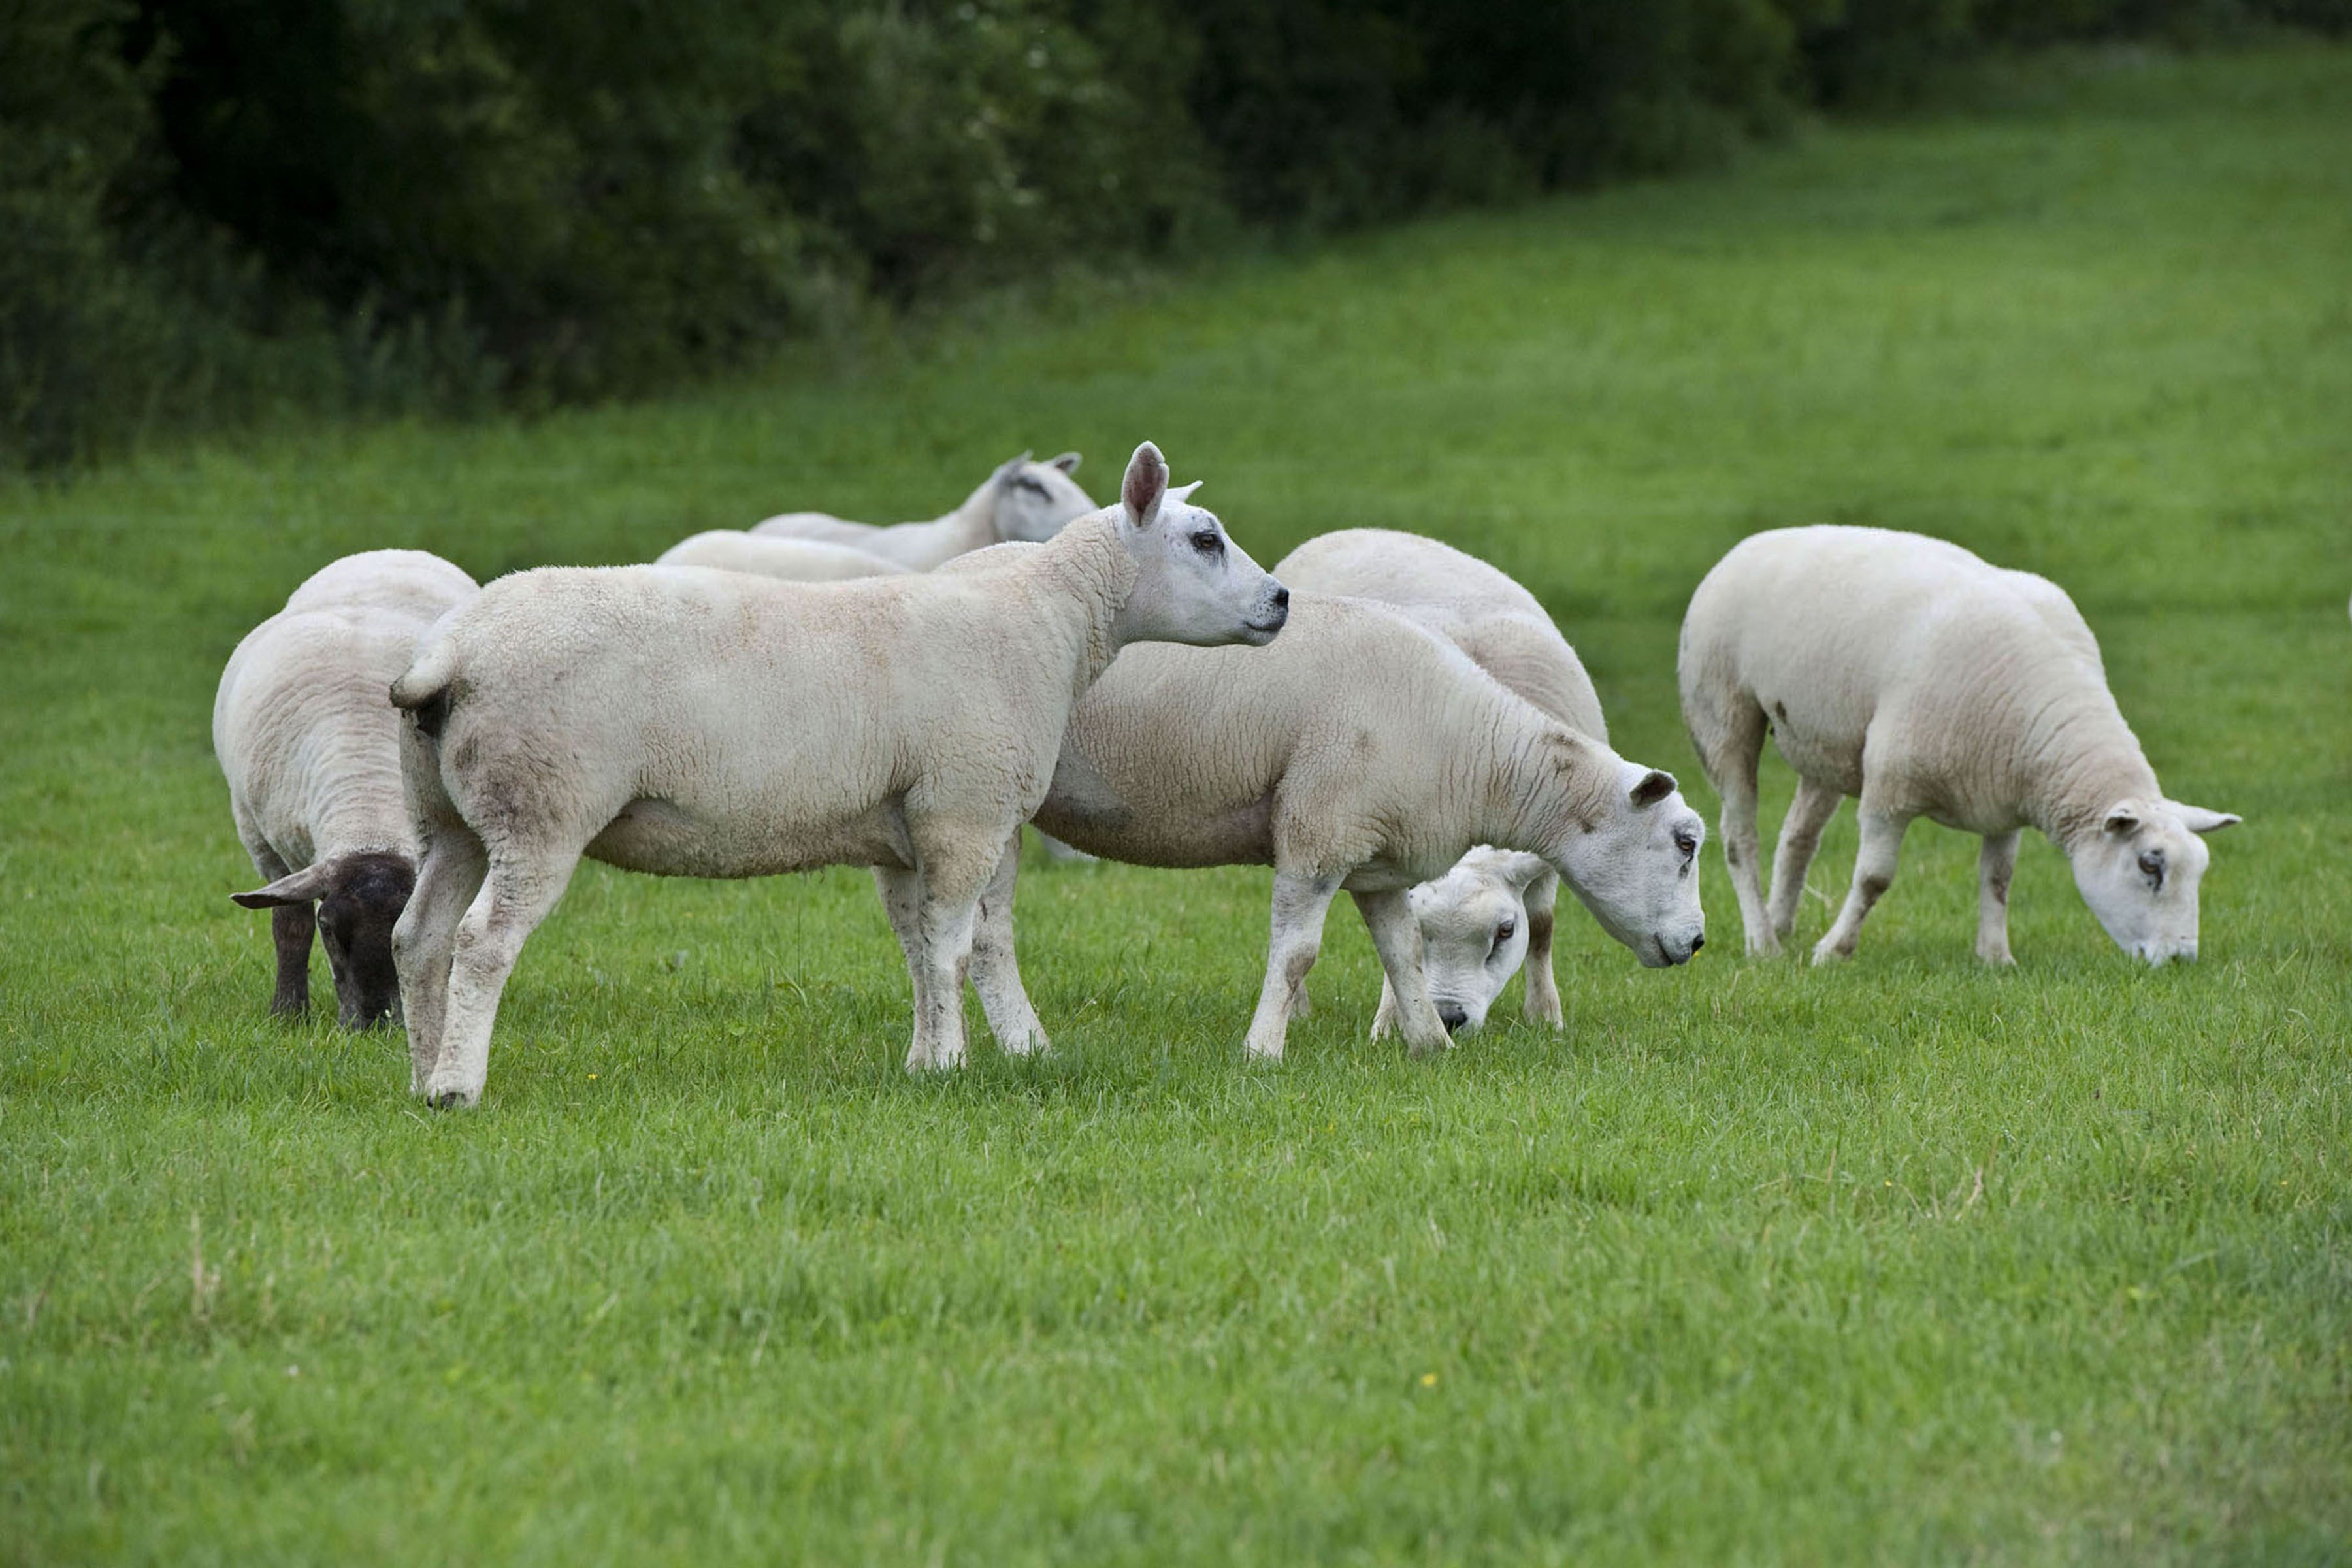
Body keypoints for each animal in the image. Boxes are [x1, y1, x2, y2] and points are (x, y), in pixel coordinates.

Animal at [212, 549, 479, 1027]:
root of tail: (392, 552)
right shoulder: (267, 847)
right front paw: (288, 1013)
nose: (374, 1024)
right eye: (330, 930)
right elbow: (290, 924)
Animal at [936, 590, 1707, 1063]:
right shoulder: (1320, 830)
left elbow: (1402, 954)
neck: (1472, 749)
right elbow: (1298, 954)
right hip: (982, 800)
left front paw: (1431, 1045)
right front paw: (1262, 1053)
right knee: (990, 939)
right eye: (1686, 841)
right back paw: (1026, 1046)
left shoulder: (1378, 855)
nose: (1699, 944)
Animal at [1274, 528, 1609, 1038]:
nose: (1450, 1018)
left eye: (1505, 932)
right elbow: (1396, 950)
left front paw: (1545, 1016)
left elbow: (1544, 927)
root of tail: (1344, 533)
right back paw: (1299, 1008)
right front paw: (1392, 1022)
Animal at [1678, 524, 2238, 966]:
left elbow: (1999, 878)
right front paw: (1834, 951)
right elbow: (1875, 879)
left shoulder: (2004, 799)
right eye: (2150, 865)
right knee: (1739, 836)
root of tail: (1757, 541)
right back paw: (1762, 942)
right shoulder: (1890, 788)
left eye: (2200, 870)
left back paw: (1780, 923)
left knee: (1799, 837)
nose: (2181, 959)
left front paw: (1996, 958)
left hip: (1825, 745)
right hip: (1724, 714)